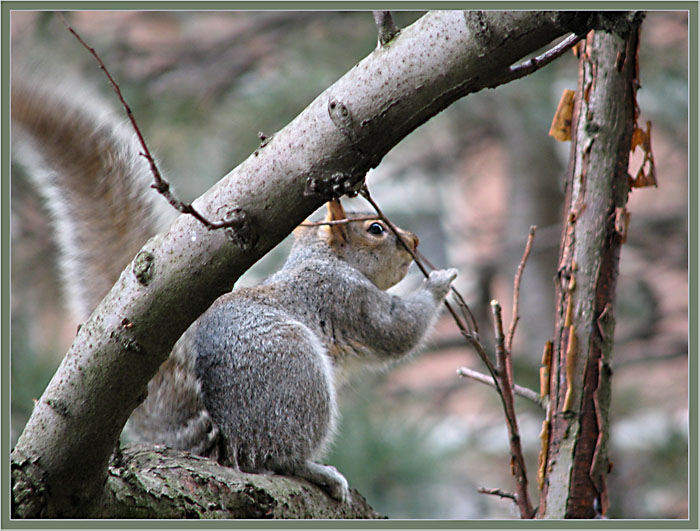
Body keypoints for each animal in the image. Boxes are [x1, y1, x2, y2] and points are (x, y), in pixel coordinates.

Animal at [13, 74, 460, 502]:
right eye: (376, 229)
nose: (416, 240)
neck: (323, 258)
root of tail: (226, 444)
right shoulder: (345, 295)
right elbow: (395, 330)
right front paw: (439, 282)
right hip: (296, 375)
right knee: (275, 456)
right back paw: (314, 469)